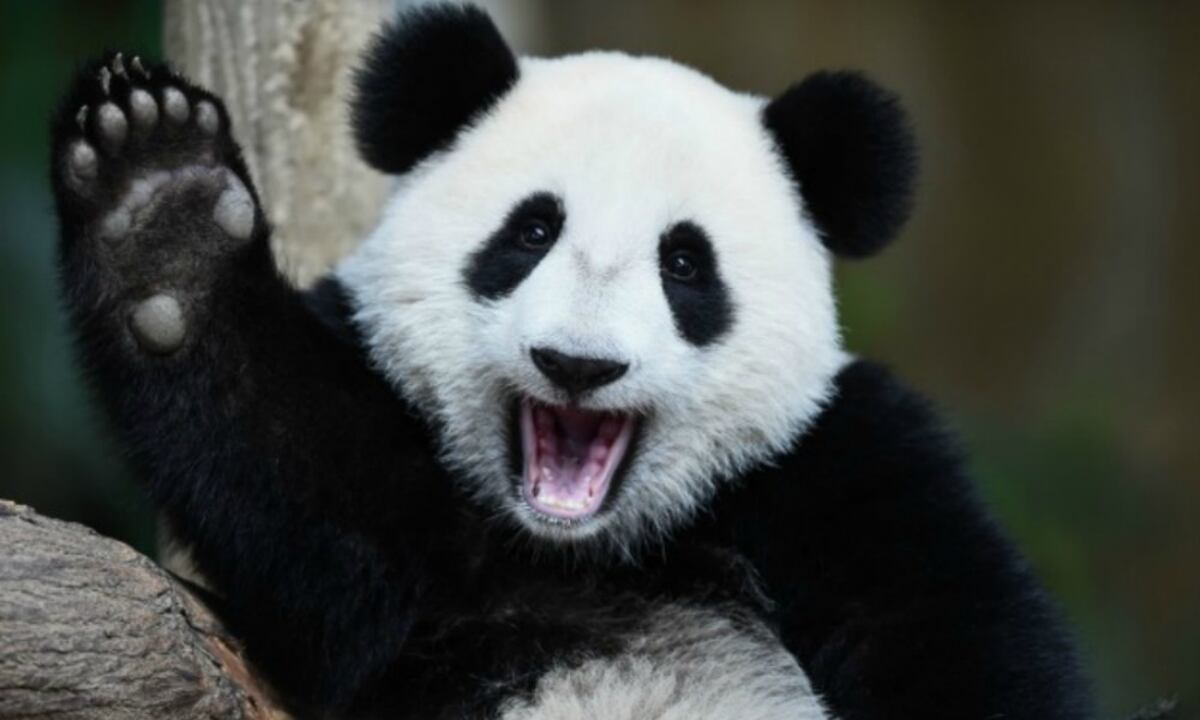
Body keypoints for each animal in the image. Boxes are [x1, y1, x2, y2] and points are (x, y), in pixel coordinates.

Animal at [50, 4, 1094, 719]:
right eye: (532, 231)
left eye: (685, 264)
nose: (578, 365)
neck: (586, 551)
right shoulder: (403, 531)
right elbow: (304, 490)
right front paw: (163, 208)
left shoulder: (839, 464)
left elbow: (952, 635)